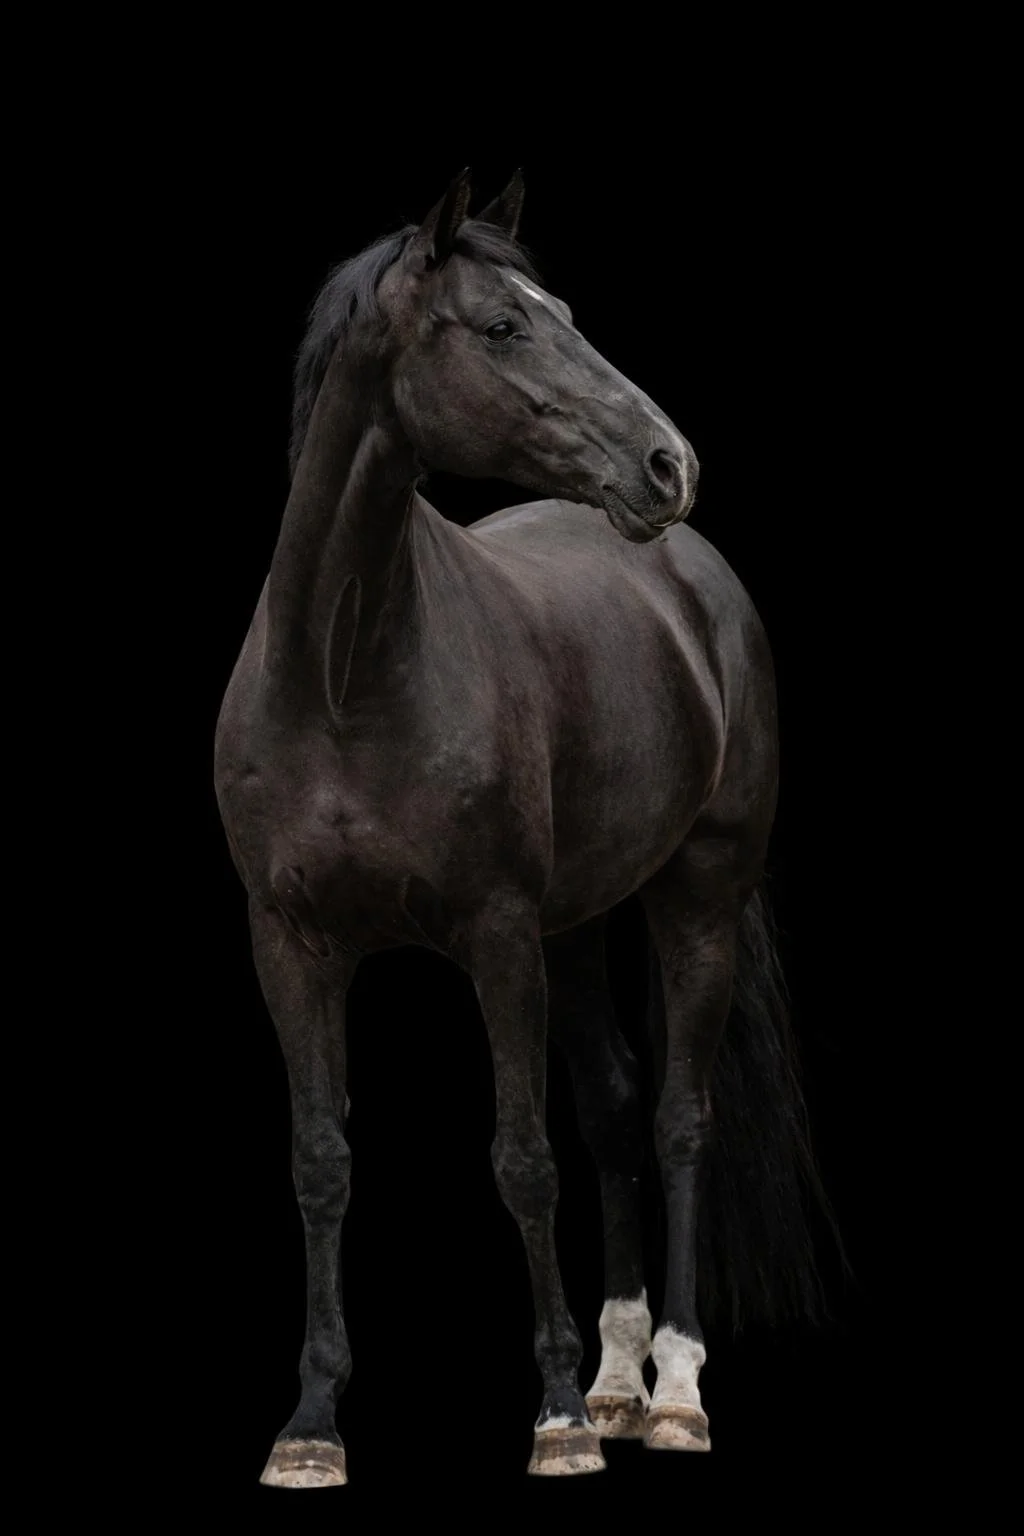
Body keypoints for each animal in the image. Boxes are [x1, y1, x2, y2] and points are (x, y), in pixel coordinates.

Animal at [214, 169, 828, 1487]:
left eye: (561, 314)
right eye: (501, 326)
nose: (669, 461)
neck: (341, 680)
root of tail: (696, 580)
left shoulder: (493, 939)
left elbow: (522, 1160)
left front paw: (551, 1418)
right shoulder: (291, 944)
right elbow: (321, 1163)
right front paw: (311, 1424)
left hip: (693, 900)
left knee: (679, 1120)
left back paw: (671, 1395)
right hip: (577, 927)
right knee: (614, 1111)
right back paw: (615, 1379)